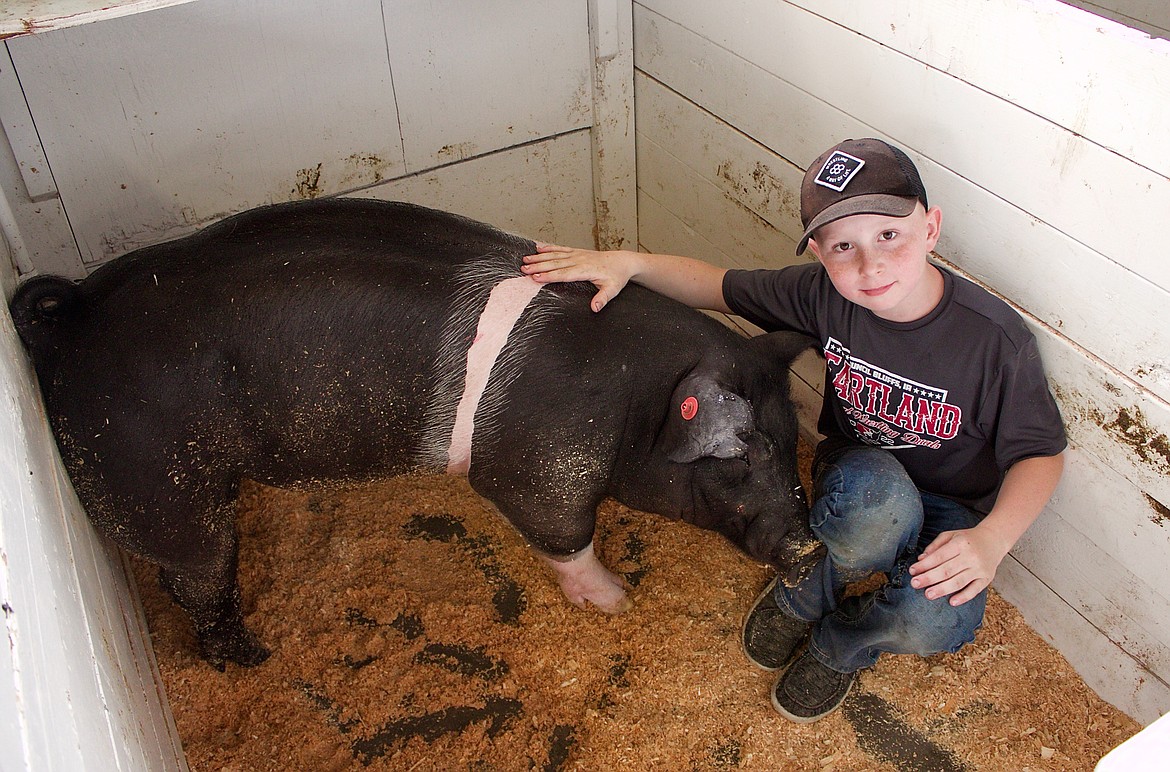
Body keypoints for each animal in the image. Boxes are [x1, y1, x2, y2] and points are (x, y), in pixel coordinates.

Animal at [13, 198, 828, 669]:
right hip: (154, 476)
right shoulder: (538, 470)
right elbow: (566, 536)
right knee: (195, 576)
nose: (810, 543)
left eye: (789, 438)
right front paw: (618, 602)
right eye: (739, 451)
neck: (639, 400)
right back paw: (251, 656)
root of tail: (73, 317)